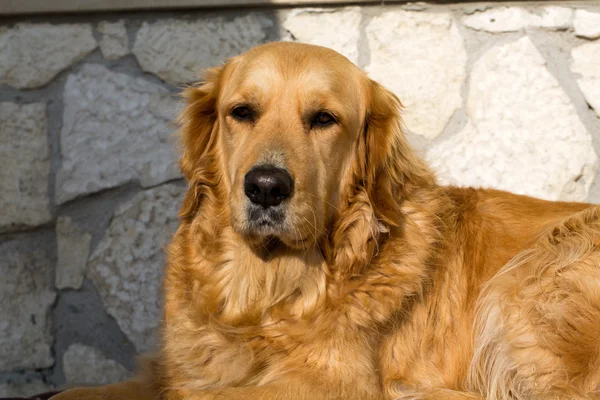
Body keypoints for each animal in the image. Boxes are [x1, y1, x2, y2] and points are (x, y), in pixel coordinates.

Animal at [51, 42, 600, 398]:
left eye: (323, 119)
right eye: (242, 111)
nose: (266, 187)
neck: (268, 293)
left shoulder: (324, 380)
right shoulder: (176, 370)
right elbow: (80, 392)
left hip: (541, 270)